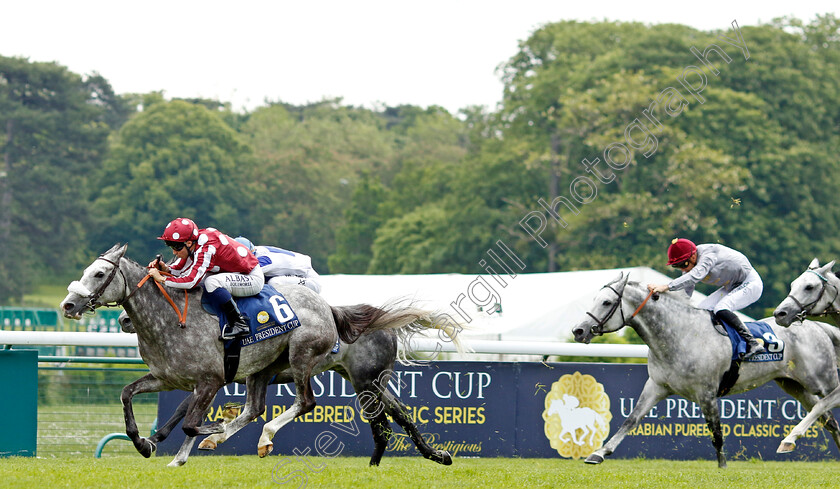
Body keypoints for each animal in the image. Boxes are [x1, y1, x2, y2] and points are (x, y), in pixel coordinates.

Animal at [118, 310, 452, 468]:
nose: (123, 319)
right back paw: (434, 455)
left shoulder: (215, 377)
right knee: (401, 414)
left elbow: (184, 411)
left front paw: (159, 443)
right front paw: (160, 442)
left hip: (365, 381)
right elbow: (188, 411)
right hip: (366, 379)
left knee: (382, 423)